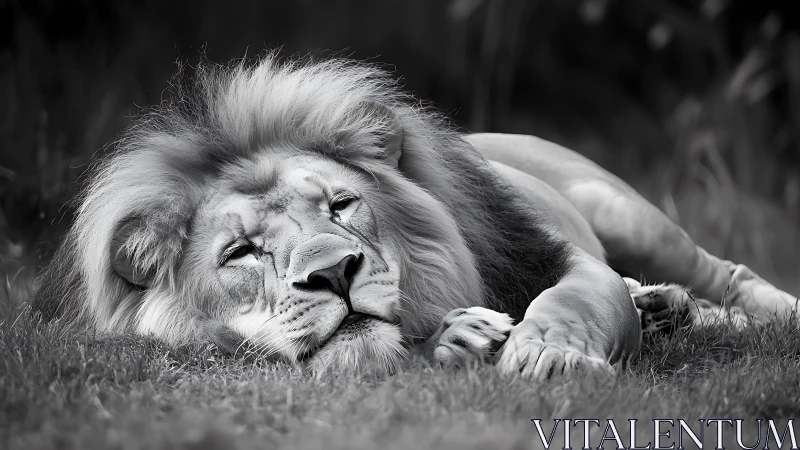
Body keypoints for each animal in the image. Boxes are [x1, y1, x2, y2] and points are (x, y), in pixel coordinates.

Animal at [32, 54, 798, 380]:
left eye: (341, 205)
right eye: (242, 252)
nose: (334, 274)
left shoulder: (551, 256)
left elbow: (570, 300)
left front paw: (546, 356)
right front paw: (460, 338)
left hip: (627, 214)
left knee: (731, 274)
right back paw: (664, 309)